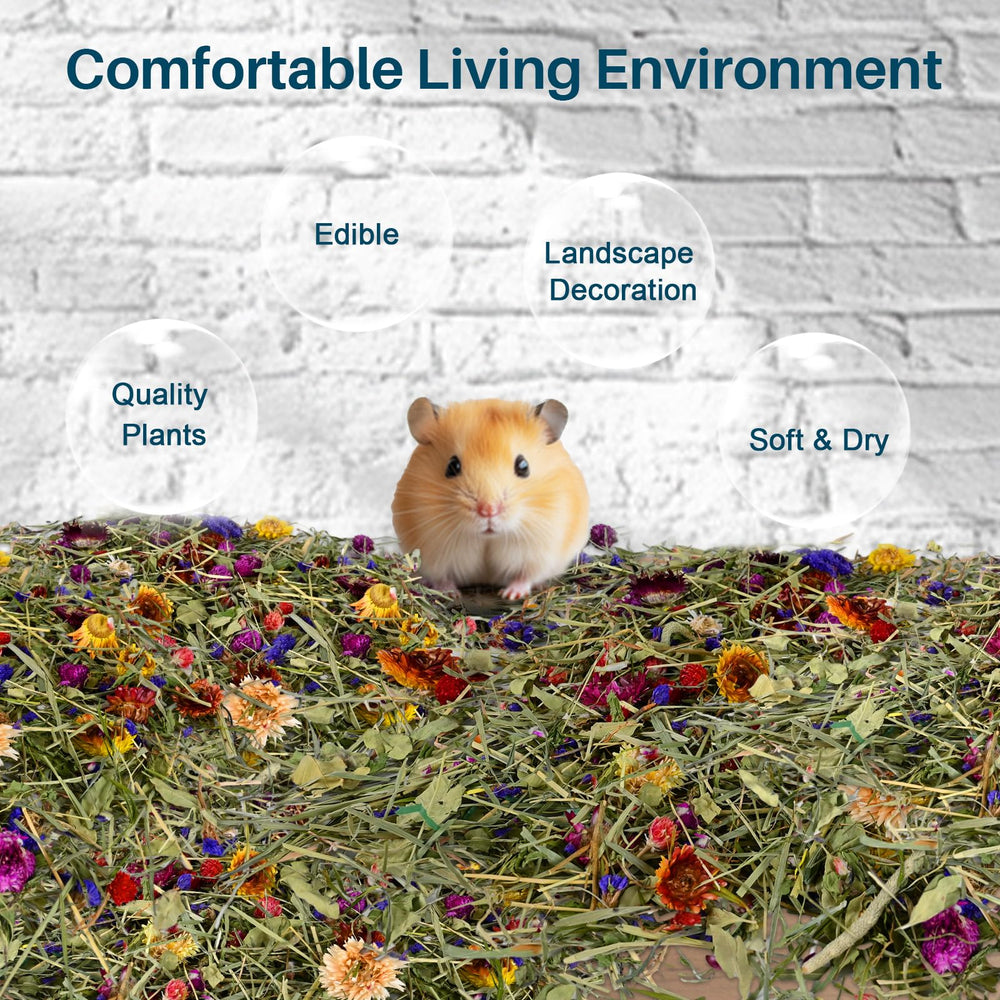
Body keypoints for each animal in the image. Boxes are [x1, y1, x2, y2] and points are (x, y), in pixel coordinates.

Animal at [392, 397, 589, 600]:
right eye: (452, 466)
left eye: (523, 466)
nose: (488, 511)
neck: (488, 538)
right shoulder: (433, 553)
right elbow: (442, 577)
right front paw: (451, 594)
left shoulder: (541, 551)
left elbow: (526, 575)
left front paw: (510, 595)